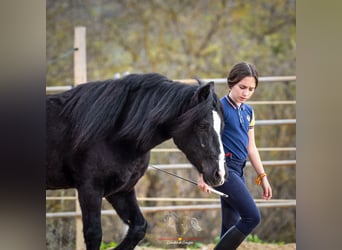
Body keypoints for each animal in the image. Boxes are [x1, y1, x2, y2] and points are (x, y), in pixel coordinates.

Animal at [46, 72, 227, 248]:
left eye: (222, 126)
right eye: (203, 125)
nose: (220, 174)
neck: (114, 135)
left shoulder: (122, 191)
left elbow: (139, 228)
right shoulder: (90, 189)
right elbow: (94, 234)